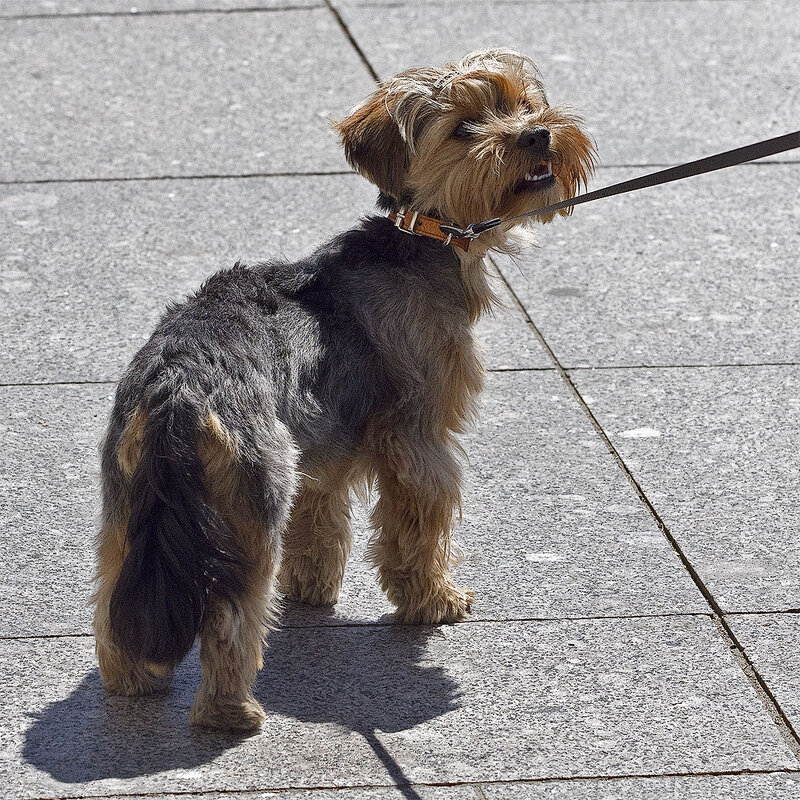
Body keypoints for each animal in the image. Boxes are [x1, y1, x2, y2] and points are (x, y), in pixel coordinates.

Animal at [92, 45, 592, 732]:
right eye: (466, 128)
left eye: (521, 104)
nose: (539, 133)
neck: (424, 236)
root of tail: (177, 391)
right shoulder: (419, 441)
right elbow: (417, 527)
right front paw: (433, 600)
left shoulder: (320, 449)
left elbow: (319, 519)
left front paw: (309, 589)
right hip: (249, 500)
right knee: (229, 613)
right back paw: (231, 713)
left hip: (131, 496)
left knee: (113, 591)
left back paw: (131, 681)